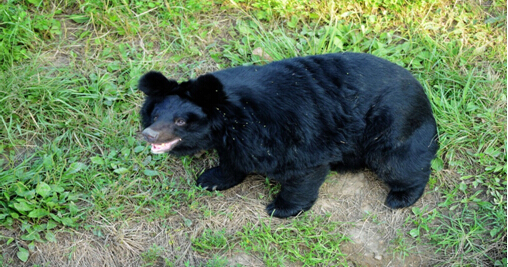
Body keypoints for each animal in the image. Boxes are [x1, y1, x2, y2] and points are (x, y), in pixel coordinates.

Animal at [137, 53, 438, 219]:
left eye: (180, 121)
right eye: (155, 115)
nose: (148, 134)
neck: (230, 122)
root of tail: (421, 90)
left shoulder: (289, 132)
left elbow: (302, 171)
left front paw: (281, 209)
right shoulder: (235, 141)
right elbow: (232, 161)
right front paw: (210, 180)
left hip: (392, 125)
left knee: (399, 163)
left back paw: (401, 197)